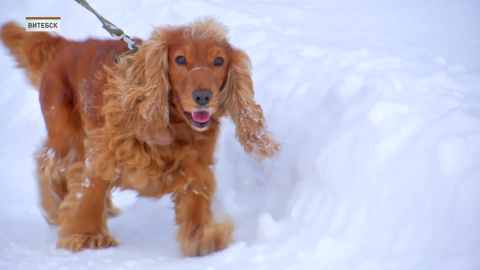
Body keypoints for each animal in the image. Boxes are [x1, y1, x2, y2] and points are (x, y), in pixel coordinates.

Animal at [0, 17, 278, 256]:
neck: (173, 125)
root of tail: (67, 45)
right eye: (180, 59)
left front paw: (204, 238)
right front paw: (87, 235)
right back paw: (56, 204)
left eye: (219, 61)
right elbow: (90, 193)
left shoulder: (196, 167)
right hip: (65, 135)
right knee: (47, 161)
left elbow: (196, 203)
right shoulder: (104, 153)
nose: (203, 96)